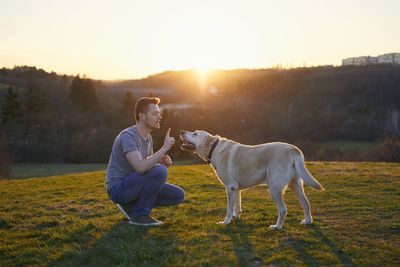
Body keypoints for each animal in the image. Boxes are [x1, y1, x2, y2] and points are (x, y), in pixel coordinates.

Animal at [180, 130, 324, 230]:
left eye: (195, 133)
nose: (181, 131)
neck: (214, 148)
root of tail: (294, 149)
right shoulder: (235, 188)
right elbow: (237, 205)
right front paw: (236, 217)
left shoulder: (230, 187)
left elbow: (229, 208)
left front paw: (226, 222)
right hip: (295, 184)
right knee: (306, 203)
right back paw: (307, 221)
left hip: (274, 187)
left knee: (283, 209)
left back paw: (277, 227)